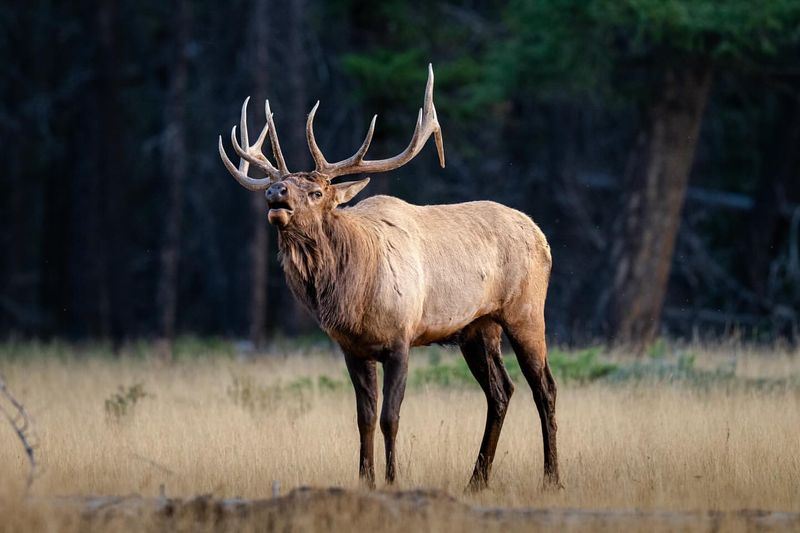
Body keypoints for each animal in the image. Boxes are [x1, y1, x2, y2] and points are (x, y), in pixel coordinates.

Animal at [216, 64, 560, 488]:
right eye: (279, 185)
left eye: (316, 192)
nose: (274, 193)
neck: (354, 296)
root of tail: (542, 236)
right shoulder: (353, 349)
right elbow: (363, 419)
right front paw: (366, 480)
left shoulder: (401, 339)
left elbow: (389, 418)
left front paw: (394, 480)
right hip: (477, 328)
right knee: (501, 391)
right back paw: (477, 479)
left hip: (525, 312)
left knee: (544, 387)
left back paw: (551, 477)